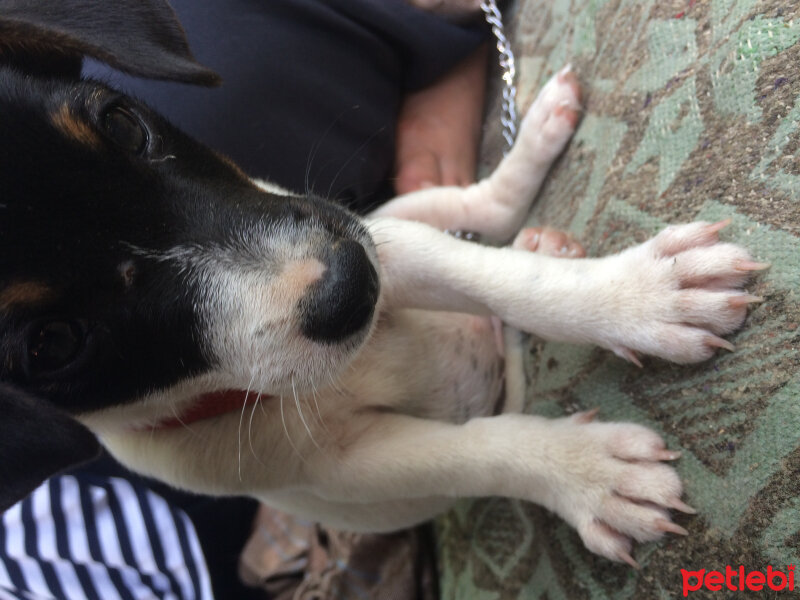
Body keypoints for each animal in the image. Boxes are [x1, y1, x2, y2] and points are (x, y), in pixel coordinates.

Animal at [1, 0, 764, 568]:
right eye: (51, 345)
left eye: (122, 124)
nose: (350, 287)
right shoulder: (350, 465)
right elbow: (478, 454)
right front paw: (586, 475)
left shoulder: (371, 240)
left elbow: (505, 280)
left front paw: (638, 296)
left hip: (390, 218)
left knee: (484, 210)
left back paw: (538, 148)